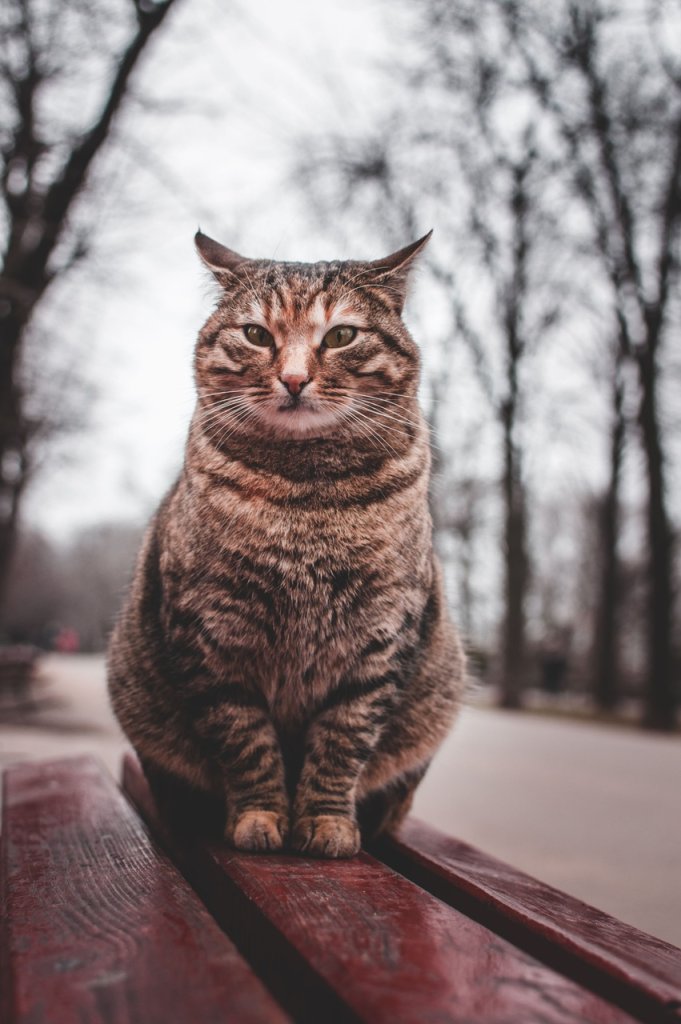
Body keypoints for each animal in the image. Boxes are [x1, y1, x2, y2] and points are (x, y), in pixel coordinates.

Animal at [106, 230, 464, 856]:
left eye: (341, 335)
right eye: (256, 334)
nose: (294, 379)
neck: (306, 498)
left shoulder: (380, 640)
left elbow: (343, 741)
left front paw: (326, 822)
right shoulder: (211, 637)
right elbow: (246, 742)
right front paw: (261, 816)